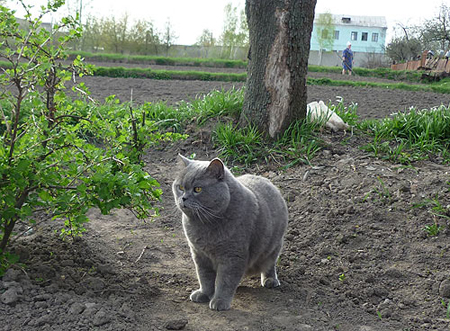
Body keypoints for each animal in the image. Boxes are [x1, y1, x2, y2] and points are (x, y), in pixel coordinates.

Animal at [172, 156, 288, 312]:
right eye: (180, 187)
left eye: (198, 189)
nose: (183, 198)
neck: (205, 224)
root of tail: (264, 179)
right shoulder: (199, 254)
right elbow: (205, 278)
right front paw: (204, 294)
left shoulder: (232, 256)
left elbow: (225, 281)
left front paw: (219, 301)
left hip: (274, 247)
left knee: (269, 264)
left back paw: (270, 280)